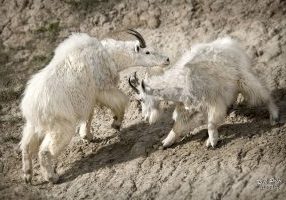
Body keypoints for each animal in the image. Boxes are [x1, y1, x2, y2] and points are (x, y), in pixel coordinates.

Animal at [21, 28, 171, 184]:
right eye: (147, 52)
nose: (167, 60)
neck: (110, 55)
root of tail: (31, 107)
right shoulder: (103, 89)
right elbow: (120, 102)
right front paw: (116, 123)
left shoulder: (88, 99)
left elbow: (89, 115)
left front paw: (87, 135)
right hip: (60, 127)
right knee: (45, 151)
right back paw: (52, 177)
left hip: (33, 126)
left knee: (26, 145)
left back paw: (27, 175)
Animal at [129, 36, 280, 148]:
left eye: (141, 99)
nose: (145, 118)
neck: (179, 84)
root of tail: (231, 44)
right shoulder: (187, 108)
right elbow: (178, 126)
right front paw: (166, 142)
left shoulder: (213, 101)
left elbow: (211, 123)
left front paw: (211, 142)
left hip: (244, 78)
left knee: (264, 94)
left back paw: (274, 116)